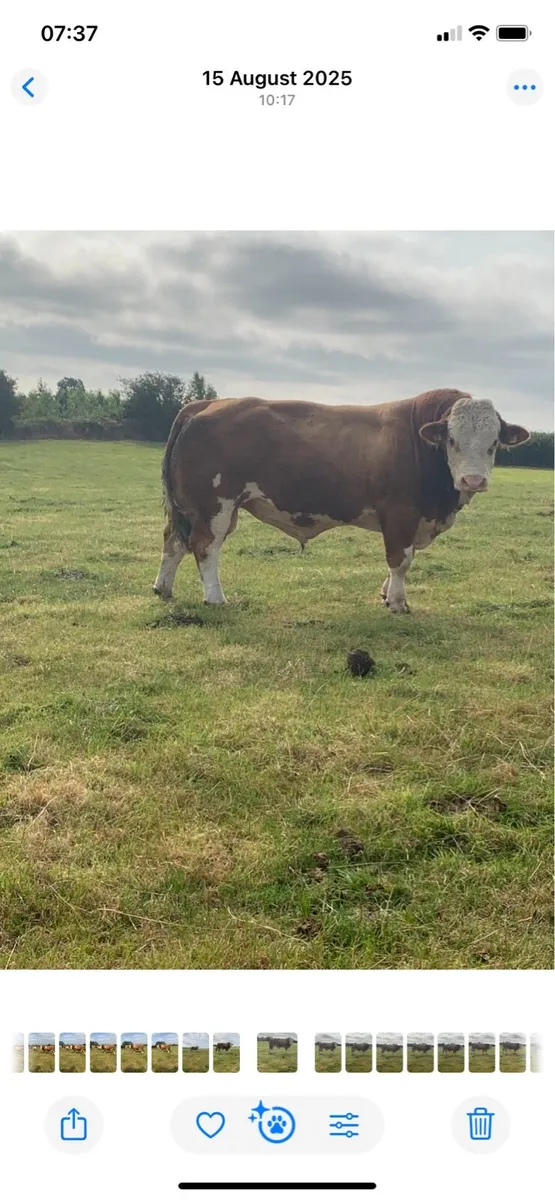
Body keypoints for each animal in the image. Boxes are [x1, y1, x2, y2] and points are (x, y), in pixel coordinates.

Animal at [154, 391, 529, 614]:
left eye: (494, 443)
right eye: (452, 440)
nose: (473, 480)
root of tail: (205, 404)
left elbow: (402, 560)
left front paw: (386, 593)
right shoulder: (401, 514)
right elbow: (401, 560)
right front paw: (397, 602)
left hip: (191, 509)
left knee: (173, 542)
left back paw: (164, 588)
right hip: (215, 506)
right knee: (205, 547)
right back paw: (215, 597)